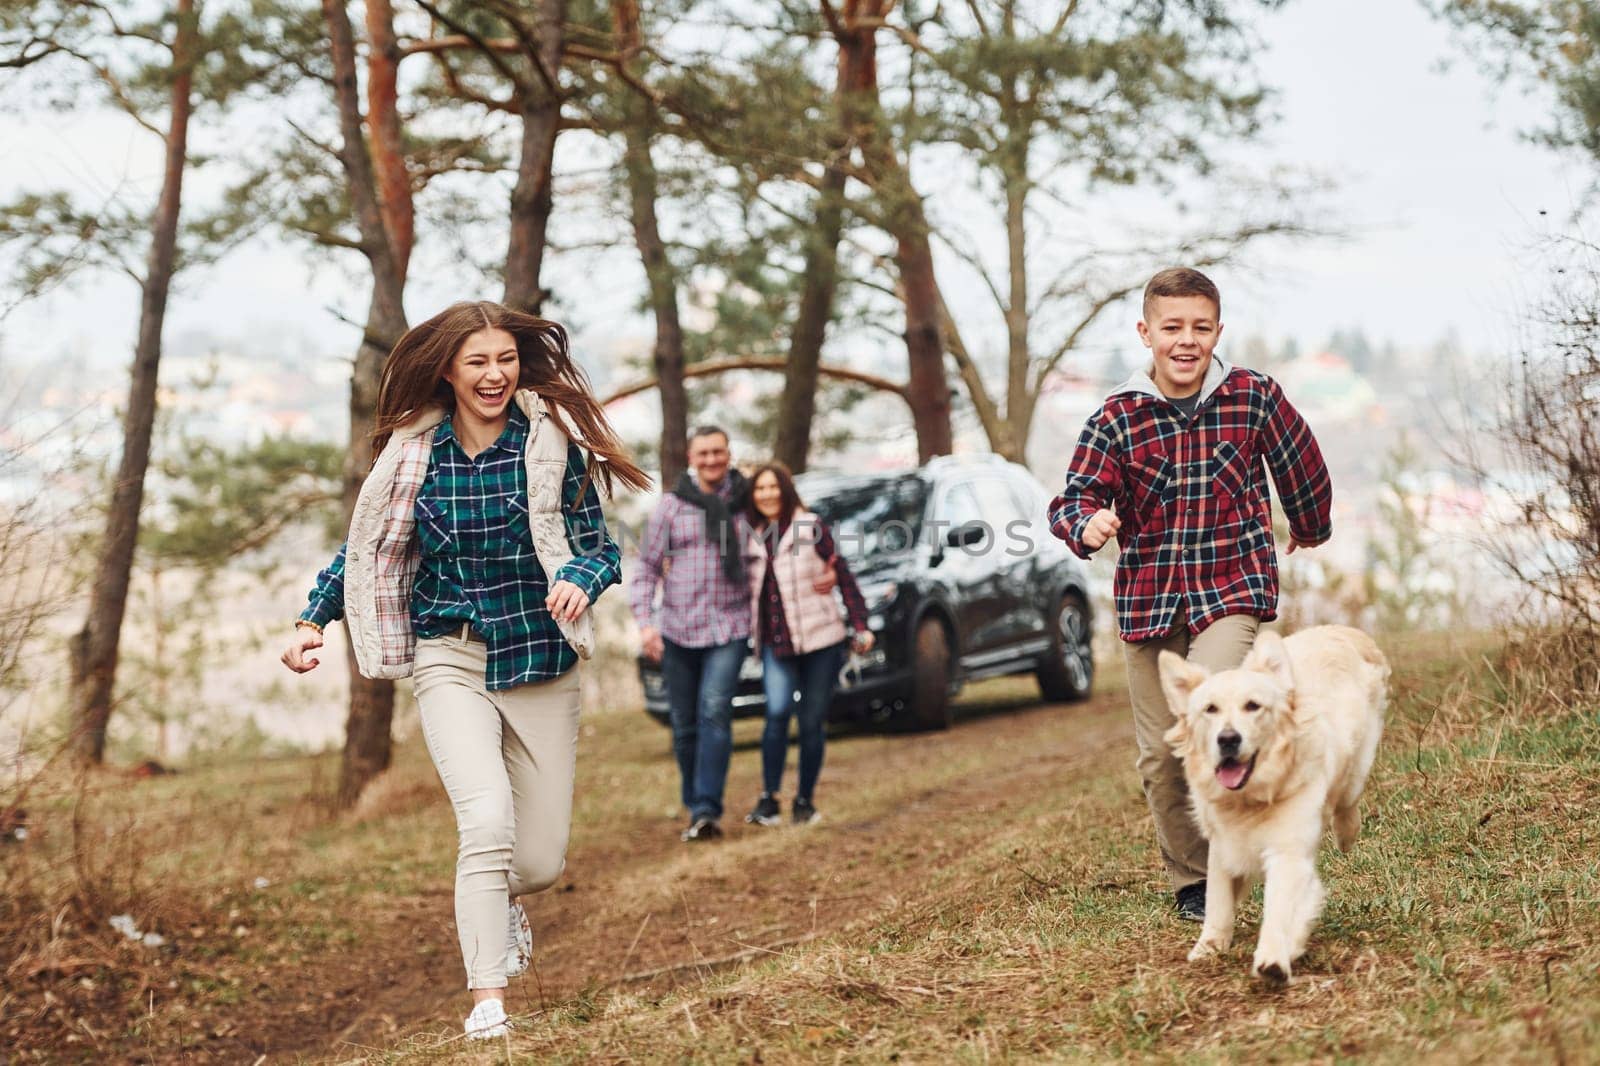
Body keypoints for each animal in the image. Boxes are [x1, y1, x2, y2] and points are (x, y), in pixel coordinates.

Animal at [1164, 624, 1388, 979]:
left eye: (1253, 706)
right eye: (1210, 709)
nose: (1228, 739)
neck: (1249, 798)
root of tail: (1341, 629)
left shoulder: (1288, 850)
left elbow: (1281, 908)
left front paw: (1273, 957)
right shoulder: (1223, 844)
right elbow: (1218, 902)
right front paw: (1209, 946)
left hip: (1358, 761)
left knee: (1347, 802)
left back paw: (1346, 836)